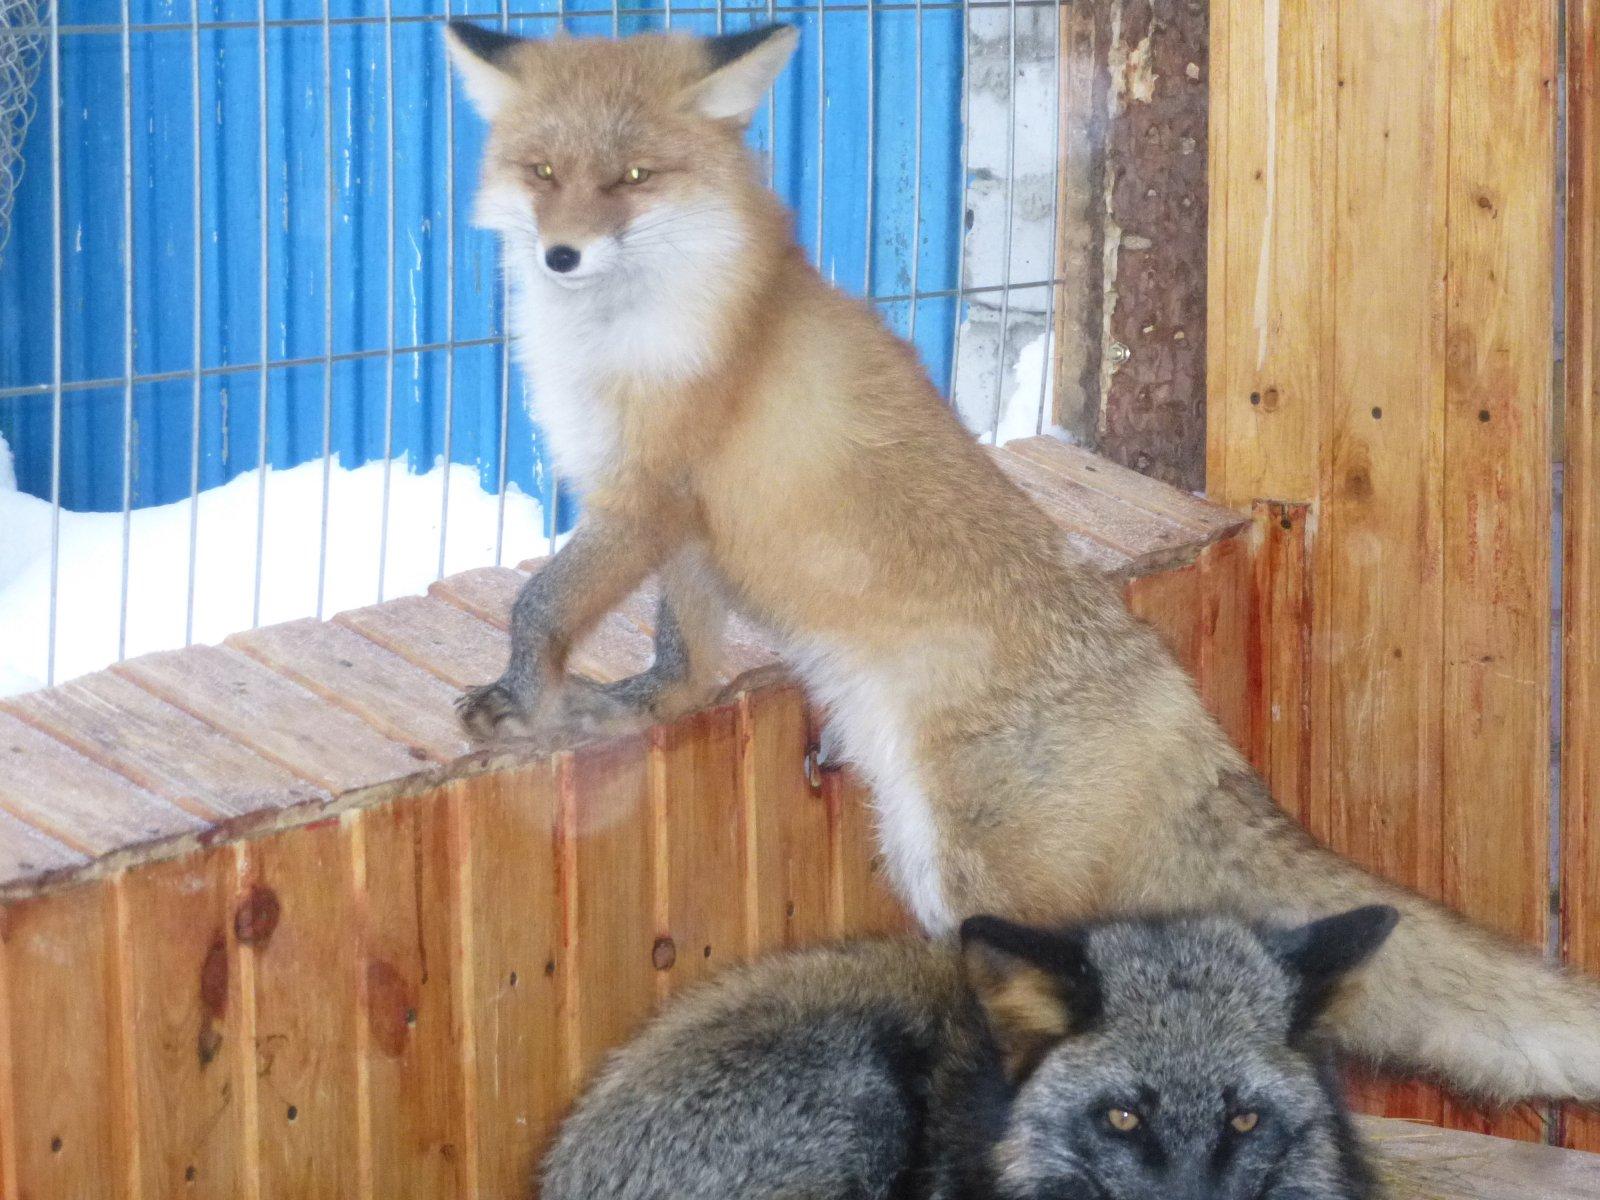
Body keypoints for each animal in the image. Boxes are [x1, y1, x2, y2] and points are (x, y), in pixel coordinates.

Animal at [444, 21, 1600, 1107]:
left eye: (634, 177)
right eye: (542, 172)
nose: (560, 256)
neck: (629, 331)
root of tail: (1187, 715)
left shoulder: (644, 496)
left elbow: (542, 603)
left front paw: (517, 697)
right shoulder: (681, 526)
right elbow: (683, 656)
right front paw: (640, 699)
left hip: (976, 879)